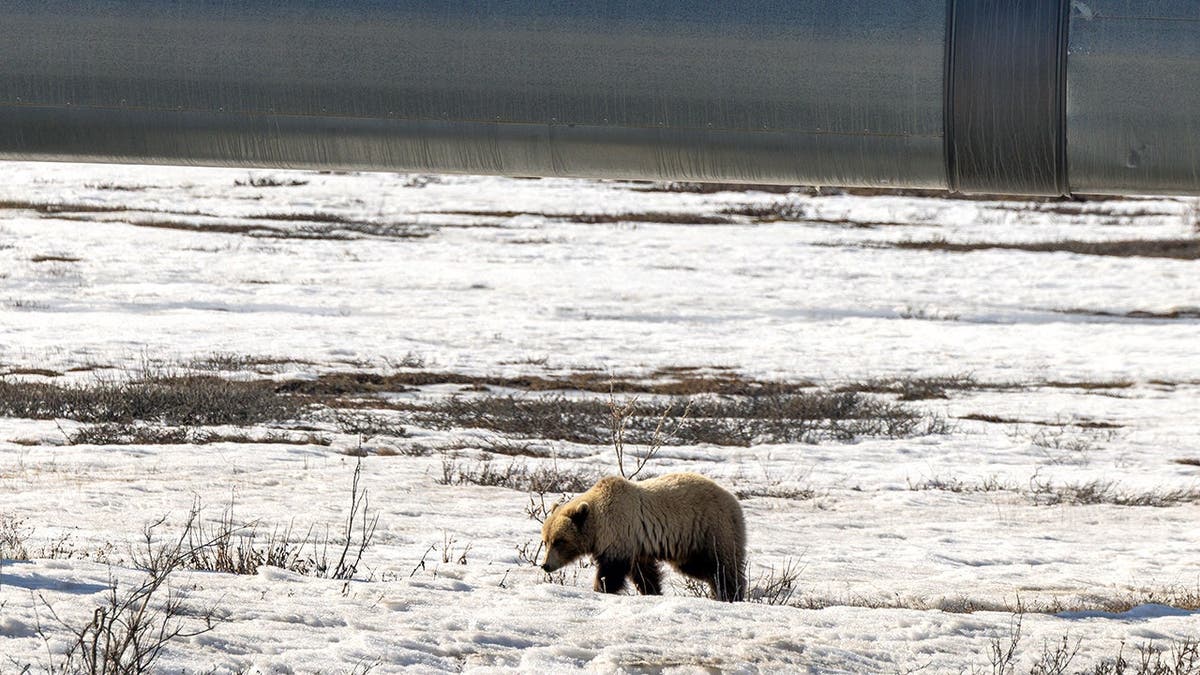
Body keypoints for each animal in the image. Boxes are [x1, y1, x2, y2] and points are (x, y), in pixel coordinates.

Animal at [539, 472, 746, 601]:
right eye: (546, 541)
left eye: (559, 541)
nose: (545, 565)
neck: (597, 524)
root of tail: (733, 500)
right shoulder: (638, 545)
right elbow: (644, 573)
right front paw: (652, 591)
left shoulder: (619, 531)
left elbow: (611, 570)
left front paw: (601, 589)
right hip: (690, 546)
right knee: (702, 568)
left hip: (710, 527)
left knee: (722, 565)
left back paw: (731, 594)